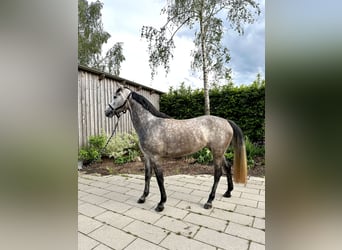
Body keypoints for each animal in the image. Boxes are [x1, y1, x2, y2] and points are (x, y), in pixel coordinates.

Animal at [104, 86, 246, 211]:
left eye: (115, 96)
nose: (107, 112)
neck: (150, 124)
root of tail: (227, 121)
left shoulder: (155, 157)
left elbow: (159, 178)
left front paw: (161, 204)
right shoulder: (147, 157)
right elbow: (147, 175)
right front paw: (143, 197)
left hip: (217, 153)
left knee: (218, 173)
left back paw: (209, 201)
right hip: (219, 152)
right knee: (227, 167)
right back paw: (228, 192)